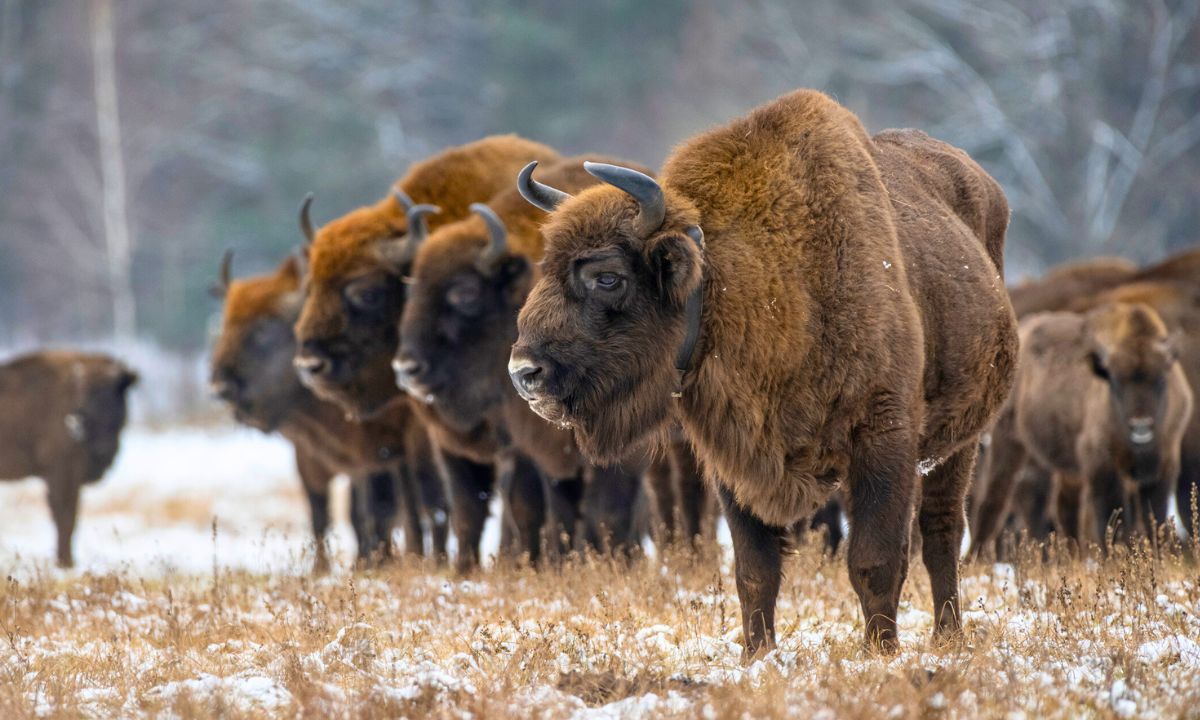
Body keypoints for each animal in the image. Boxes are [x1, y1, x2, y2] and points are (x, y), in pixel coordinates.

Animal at [0, 350, 137, 568]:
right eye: (84, 395)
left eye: (113, 392)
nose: (78, 420)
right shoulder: (61, 472)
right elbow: (65, 517)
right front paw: (66, 562)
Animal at [208, 252, 448, 568]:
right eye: (225, 325)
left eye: (263, 329)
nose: (220, 388)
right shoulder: (311, 458)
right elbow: (321, 515)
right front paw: (322, 569)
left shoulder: (372, 455)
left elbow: (368, 513)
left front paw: (367, 563)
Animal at [511, 88, 1017, 652]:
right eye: (546, 268)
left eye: (607, 277)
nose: (524, 371)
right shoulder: (736, 456)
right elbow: (755, 571)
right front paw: (759, 655)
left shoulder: (884, 440)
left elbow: (875, 562)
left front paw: (880, 654)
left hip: (957, 443)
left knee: (941, 531)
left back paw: (948, 637)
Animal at [974, 301, 1190, 549]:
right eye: (1114, 380)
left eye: (1161, 379)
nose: (1141, 427)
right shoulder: (1100, 464)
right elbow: (1112, 518)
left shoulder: (1163, 464)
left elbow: (1154, 516)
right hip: (1010, 441)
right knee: (995, 499)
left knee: (1060, 507)